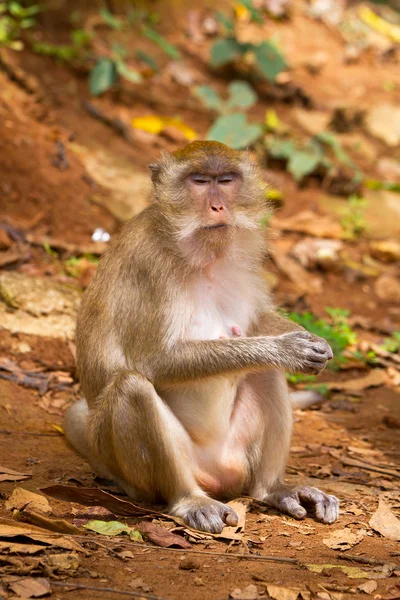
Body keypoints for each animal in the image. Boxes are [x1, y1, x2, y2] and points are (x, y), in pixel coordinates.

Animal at [64, 142, 340, 536]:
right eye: (198, 181)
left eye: (225, 180)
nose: (218, 207)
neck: (198, 253)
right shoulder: (149, 267)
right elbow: (154, 362)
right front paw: (286, 348)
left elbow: (257, 320)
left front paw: (310, 340)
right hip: (133, 471)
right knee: (132, 387)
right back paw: (188, 500)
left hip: (237, 454)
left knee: (265, 373)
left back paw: (274, 489)